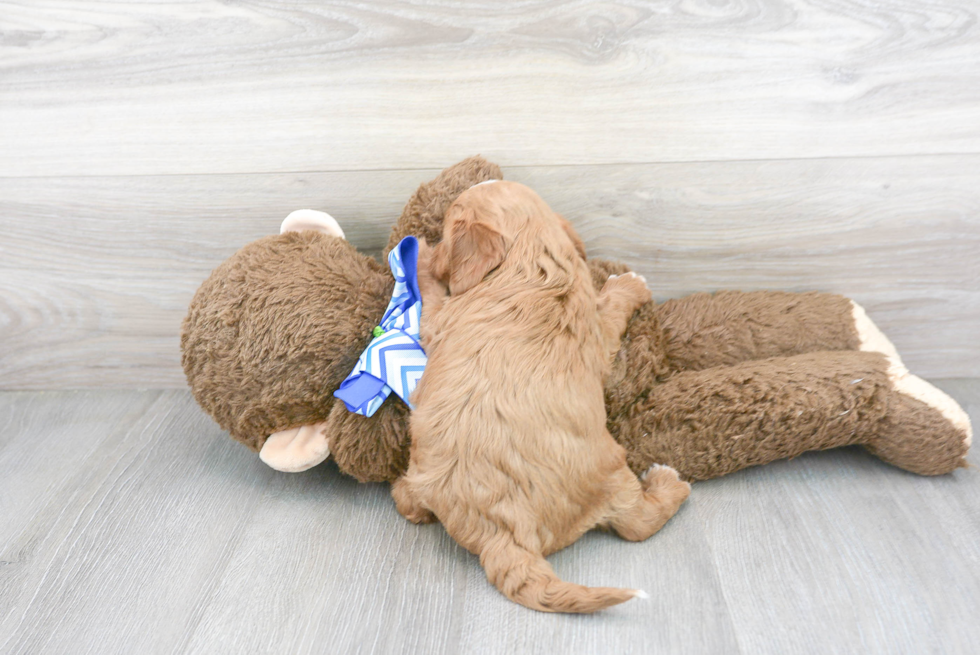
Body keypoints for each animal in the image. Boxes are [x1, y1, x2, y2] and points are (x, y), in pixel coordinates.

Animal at [390, 181, 688, 616]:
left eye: (446, 231)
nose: (431, 243)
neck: (534, 264)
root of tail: (506, 530)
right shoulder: (596, 329)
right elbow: (609, 307)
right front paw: (630, 284)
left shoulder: (441, 321)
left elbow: (430, 294)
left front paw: (424, 258)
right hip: (613, 473)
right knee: (637, 524)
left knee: (638, 524)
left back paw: (669, 481)